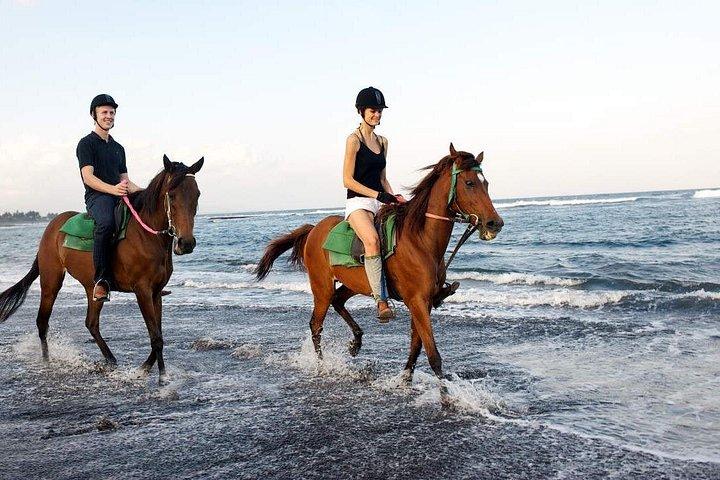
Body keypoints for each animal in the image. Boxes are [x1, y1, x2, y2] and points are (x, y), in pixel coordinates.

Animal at [0, 155, 203, 382]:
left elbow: (158, 335)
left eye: (197, 194)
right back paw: (47, 361)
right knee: (42, 322)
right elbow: (156, 337)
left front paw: (150, 370)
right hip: (51, 282)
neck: (146, 236)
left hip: (93, 287)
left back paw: (110, 359)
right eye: (172, 195)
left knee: (91, 323)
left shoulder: (156, 292)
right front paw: (157, 376)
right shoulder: (142, 291)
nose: (187, 243)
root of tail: (52, 227)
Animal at [255, 144, 503, 381]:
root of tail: (314, 229)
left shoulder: (425, 303)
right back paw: (322, 365)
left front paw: (405, 380)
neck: (420, 240)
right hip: (321, 287)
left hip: (355, 283)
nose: (495, 223)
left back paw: (356, 342)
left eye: (486, 183)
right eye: (469, 183)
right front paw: (445, 394)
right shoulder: (417, 301)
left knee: (338, 300)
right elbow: (433, 355)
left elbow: (416, 345)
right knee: (316, 324)